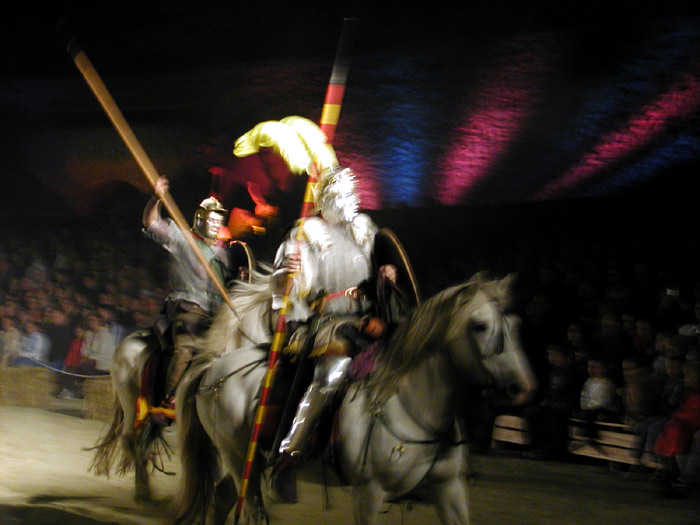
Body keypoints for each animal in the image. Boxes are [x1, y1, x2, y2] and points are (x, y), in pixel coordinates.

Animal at [170, 272, 536, 520]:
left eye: (517, 324)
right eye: (479, 326)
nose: (523, 388)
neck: (413, 408)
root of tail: (213, 369)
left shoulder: (450, 491)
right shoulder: (369, 494)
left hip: (246, 461)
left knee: (221, 498)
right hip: (235, 455)